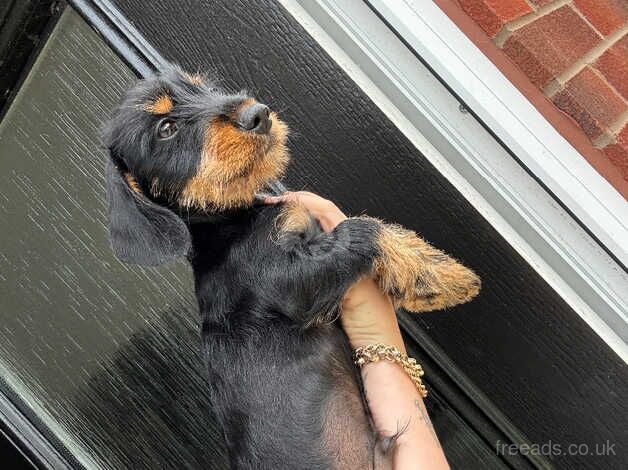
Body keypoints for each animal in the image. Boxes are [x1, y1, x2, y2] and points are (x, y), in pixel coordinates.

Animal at [103, 66, 478, 470]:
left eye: (204, 87)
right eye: (167, 128)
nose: (257, 114)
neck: (225, 223)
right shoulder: (289, 280)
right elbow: (360, 229)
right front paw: (441, 278)